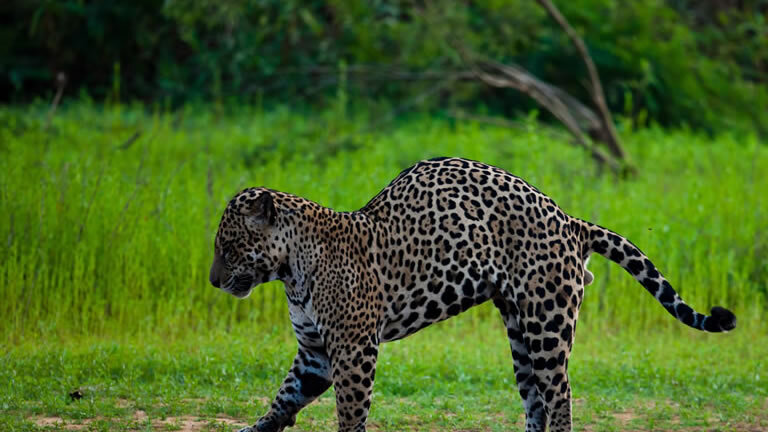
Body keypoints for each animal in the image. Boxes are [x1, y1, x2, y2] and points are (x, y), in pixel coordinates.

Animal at [209, 157, 736, 432]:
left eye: (228, 246)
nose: (212, 281)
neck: (290, 270)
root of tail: (570, 220)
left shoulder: (354, 348)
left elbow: (350, 411)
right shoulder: (315, 351)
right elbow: (284, 398)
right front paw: (257, 429)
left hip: (547, 324)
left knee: (561, 395)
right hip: (519, 330)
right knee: (536, 399)